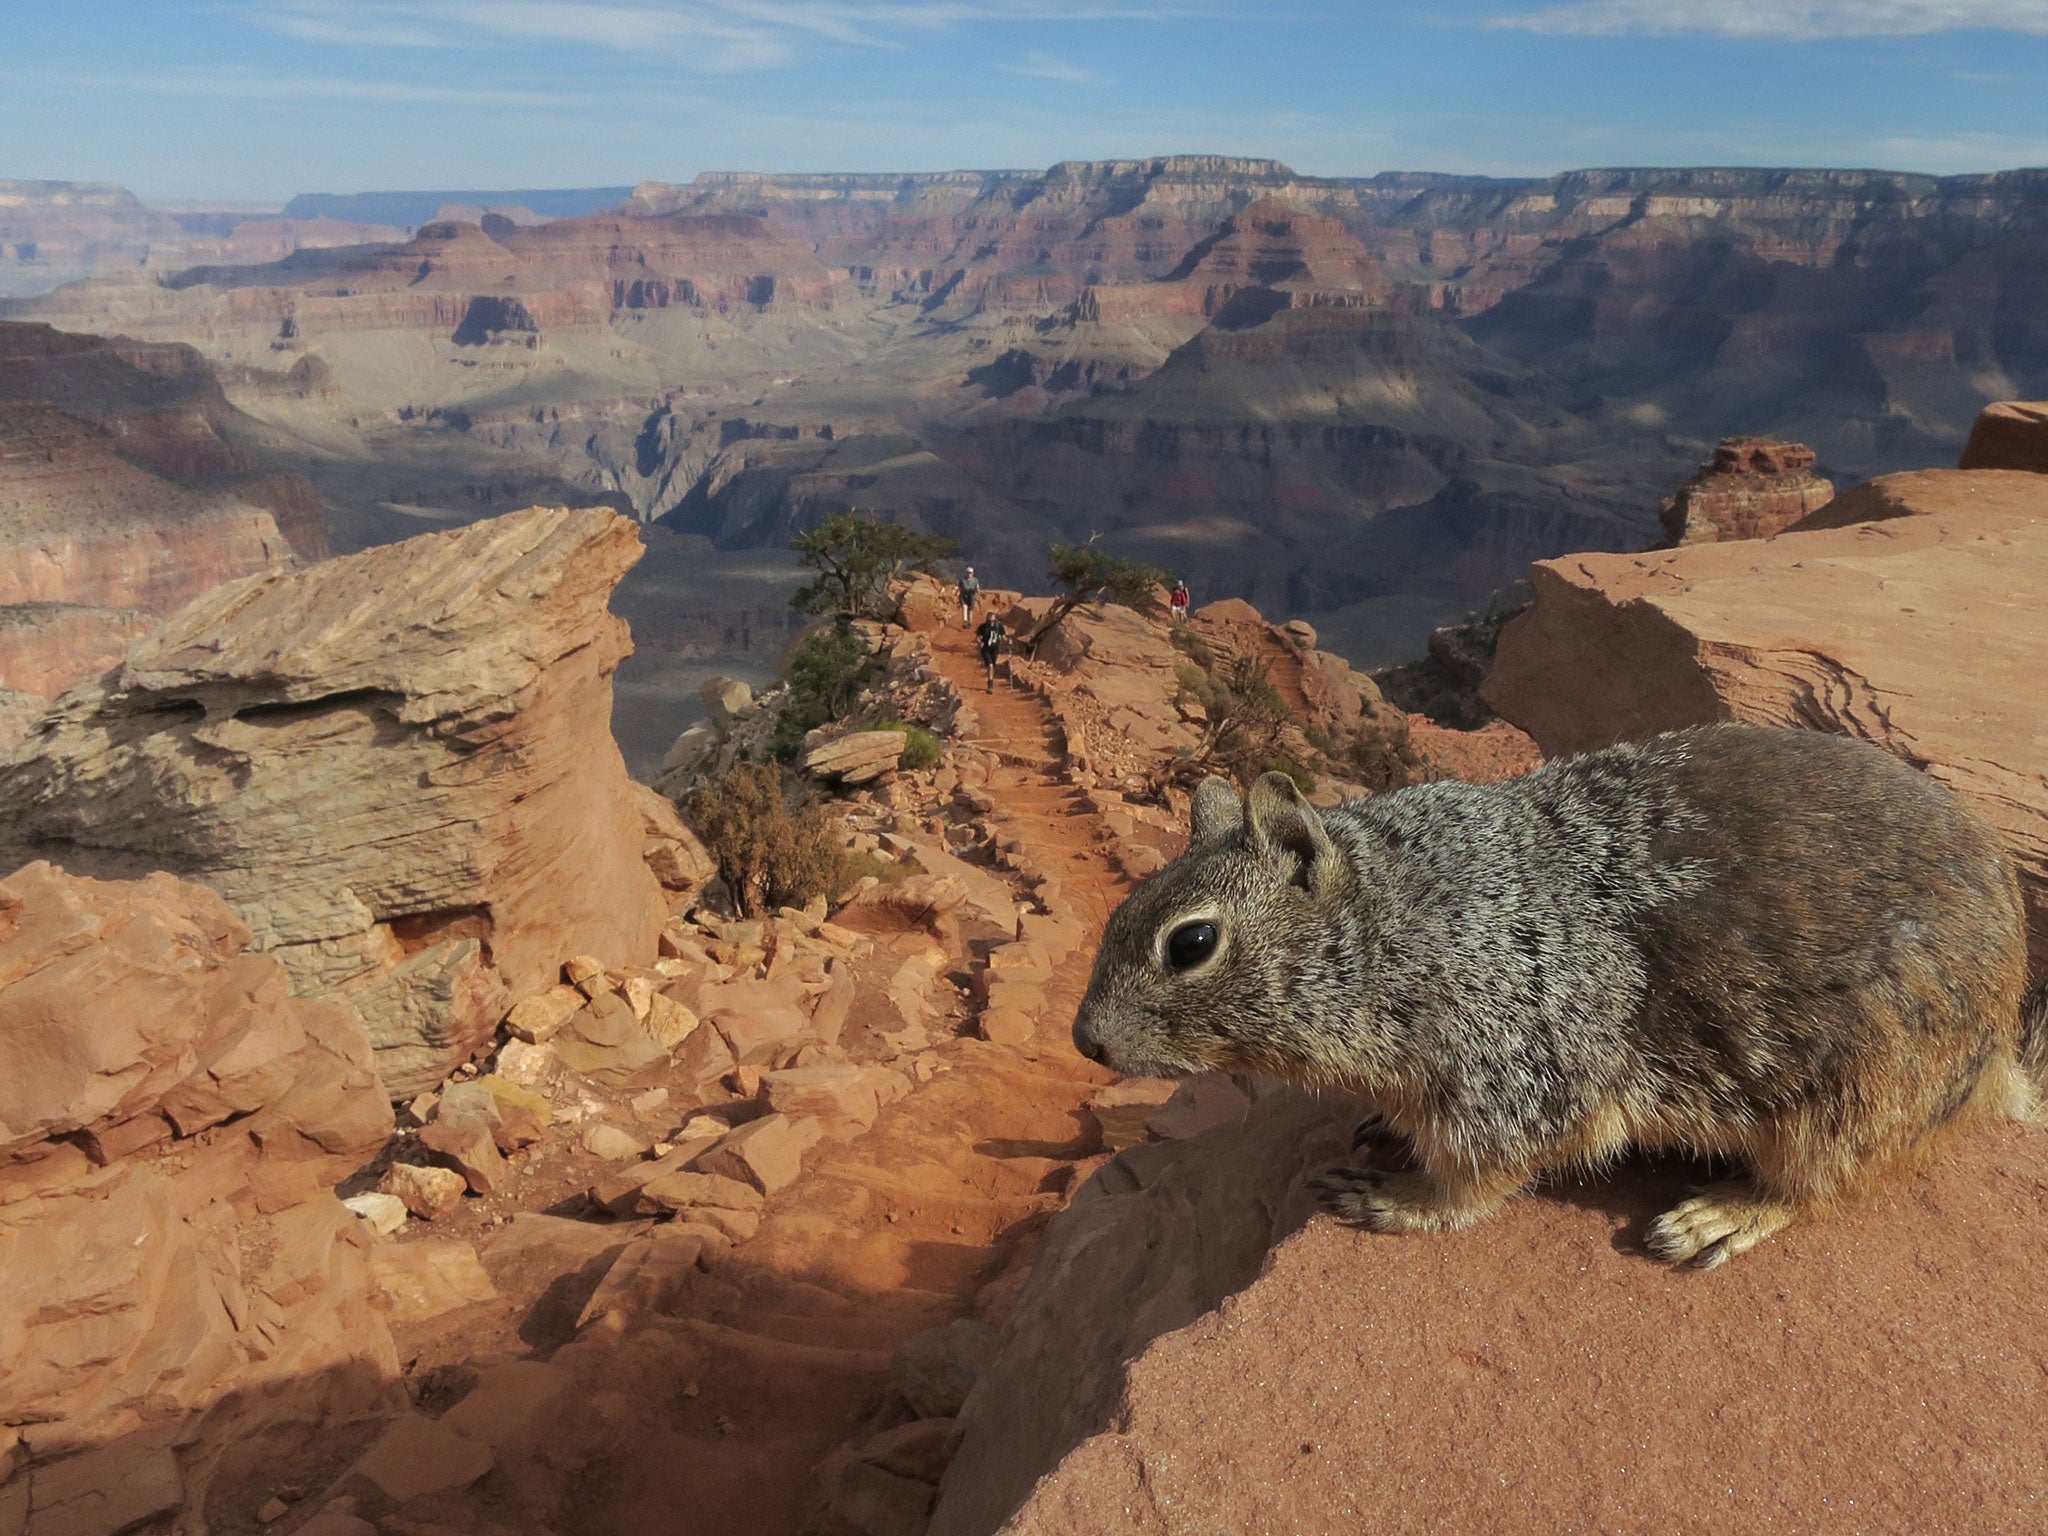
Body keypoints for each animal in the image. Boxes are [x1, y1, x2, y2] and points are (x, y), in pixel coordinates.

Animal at [1073, 729, 2048, 1269]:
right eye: (1117, 909)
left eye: (1190, 943)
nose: (1086, 1041)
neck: (1403, 922)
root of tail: (2002, 1054)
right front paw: (1381, 1131)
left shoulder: (1510, 1074)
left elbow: (1476, 1182)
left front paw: (1388, 1197)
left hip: (1855, 1097)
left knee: (1824, 1185)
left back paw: (1718, 1216)